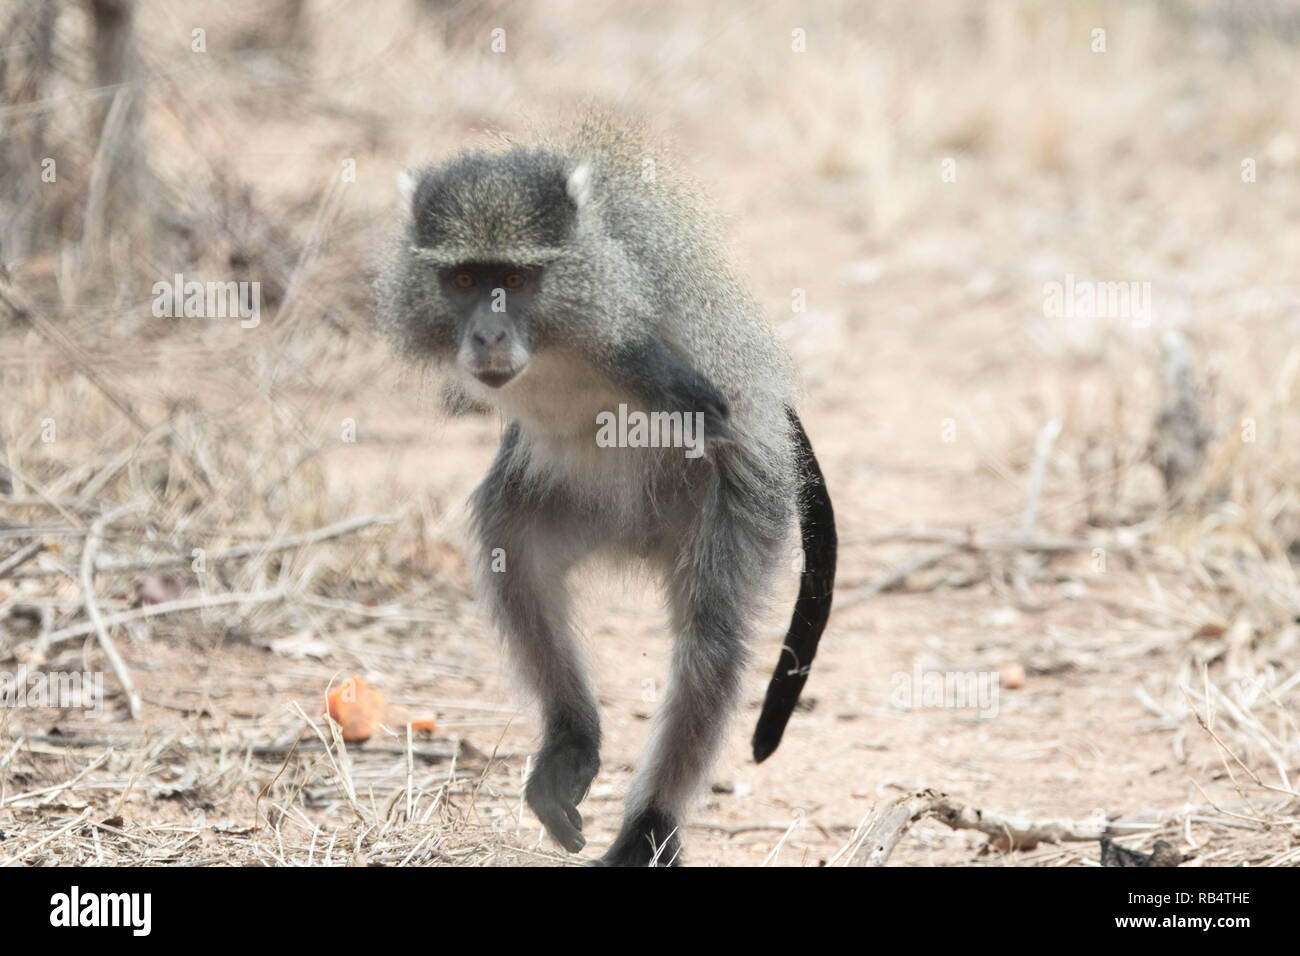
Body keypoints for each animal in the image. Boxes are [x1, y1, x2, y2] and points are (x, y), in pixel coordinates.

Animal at [380, 119, 836, 866]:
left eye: (517, 279)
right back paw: (572, 740)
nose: (488, 332)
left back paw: (650, 825)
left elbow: (692, 389)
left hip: (733, 502)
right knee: (514, 553)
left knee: (710, 643)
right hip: (574, 504)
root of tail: (640, 537)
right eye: (465, 278)